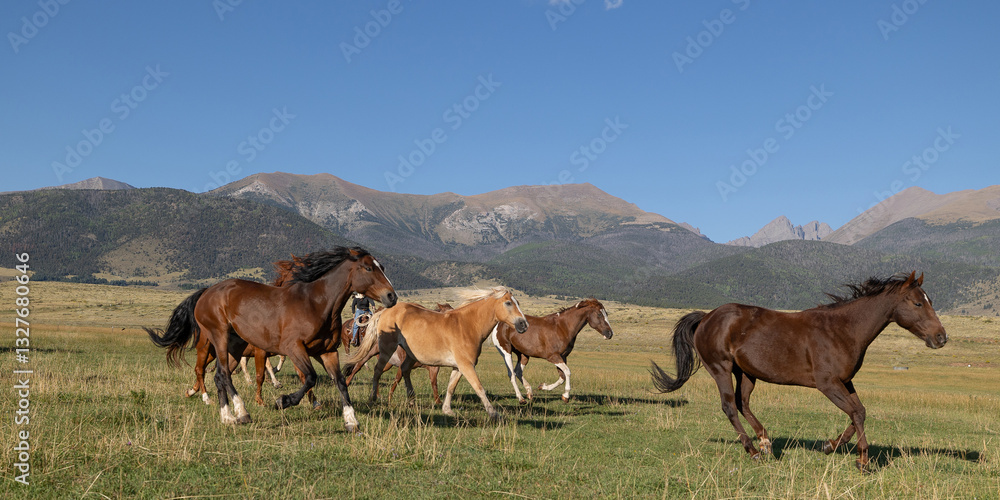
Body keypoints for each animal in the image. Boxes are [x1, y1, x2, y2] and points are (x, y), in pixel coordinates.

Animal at [147, 246, 397, 430]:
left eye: (382, 267)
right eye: (368, 268)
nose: (391, 296)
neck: (317, 303)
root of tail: (206, 292)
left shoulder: (327, 351)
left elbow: (341, 382)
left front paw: (351, 421)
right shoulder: (294, 347)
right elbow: (310, 377)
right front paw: (282, 401)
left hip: (236, 347)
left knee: (219, 375)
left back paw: (228, 416)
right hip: (218, 337)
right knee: (222, 374)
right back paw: (239, 413)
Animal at [347, 287, 527, 419]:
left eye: (518, 302)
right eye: (508, 303)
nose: (523, 325)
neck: (467, 326)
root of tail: (385, 311)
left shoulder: (459, 367)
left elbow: (450, 388)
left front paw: (447, 410)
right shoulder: (466, 366)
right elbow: (479, 387)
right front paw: (493, 413)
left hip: (410, 355)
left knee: (404, 370)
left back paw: (411, 400)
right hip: (386, 350)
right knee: (377, 371)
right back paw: (373, 398)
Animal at [650, 272, 947, 471]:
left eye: (929, 300)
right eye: (918, 303)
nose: (941, 338)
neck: (842, 330)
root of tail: (706, 317)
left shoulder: (845, 381)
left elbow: (859, 412)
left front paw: (831, 445)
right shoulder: (828, 384)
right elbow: (856, 413)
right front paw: (862, 461)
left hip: (746, 374)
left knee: (743, 403)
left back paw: (766, 443)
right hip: (721, 369)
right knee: (730, 407)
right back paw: (753, 451)